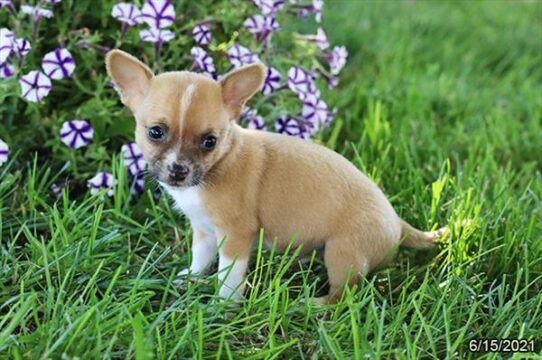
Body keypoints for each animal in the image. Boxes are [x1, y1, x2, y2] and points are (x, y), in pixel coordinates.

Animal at [105, 49, 446, 304]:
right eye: (155, 132)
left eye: (209, 141)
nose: (178, 170)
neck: (216, 167)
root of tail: (397, 223)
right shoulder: (204, 231)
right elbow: (200, 258)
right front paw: (189, 278)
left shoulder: (235, 236)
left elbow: (229, 275)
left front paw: (222, 305)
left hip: (343, 253)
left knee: (345, 296)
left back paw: (314, 305)